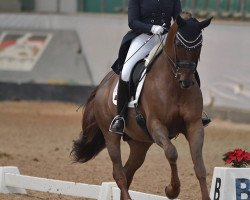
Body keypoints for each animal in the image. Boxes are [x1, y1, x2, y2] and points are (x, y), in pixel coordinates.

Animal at [72, 12, 213, 200]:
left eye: (200, 45)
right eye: (178, 44)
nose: (186, 81)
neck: (174, 85)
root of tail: (103, 85)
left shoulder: (194, 125)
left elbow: (199, 166)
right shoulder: (156, 125)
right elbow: (172, 152)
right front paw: (172, 190)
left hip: (140, 142)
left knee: (127, 172)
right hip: (111, 136)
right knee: (119, 173)